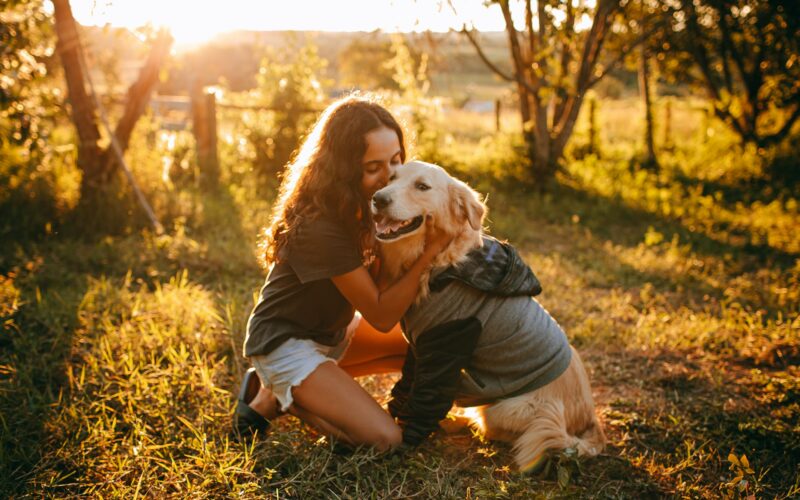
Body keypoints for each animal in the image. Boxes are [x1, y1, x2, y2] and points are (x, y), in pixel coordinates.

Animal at [372, 162, 604, 470]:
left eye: (422, 187)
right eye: (391, 178)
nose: (378, 199)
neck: (441, 265)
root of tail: (590, 420)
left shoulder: (447, 342)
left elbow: (425, 397)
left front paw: (405, 440)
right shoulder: (420, 347)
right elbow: (406, 385)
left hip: (509, 409)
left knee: (501, 431)